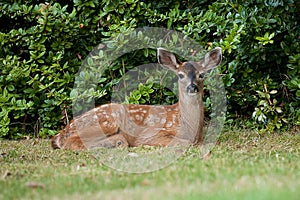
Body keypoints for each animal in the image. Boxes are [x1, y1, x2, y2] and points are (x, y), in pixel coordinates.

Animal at [51, 47, 221, 150]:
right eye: (180, 75)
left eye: (201, 74)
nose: (192, 87)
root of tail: (61, 133)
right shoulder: (151, 133)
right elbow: (184, 143)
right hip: (107, 120)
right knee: (71, 142)